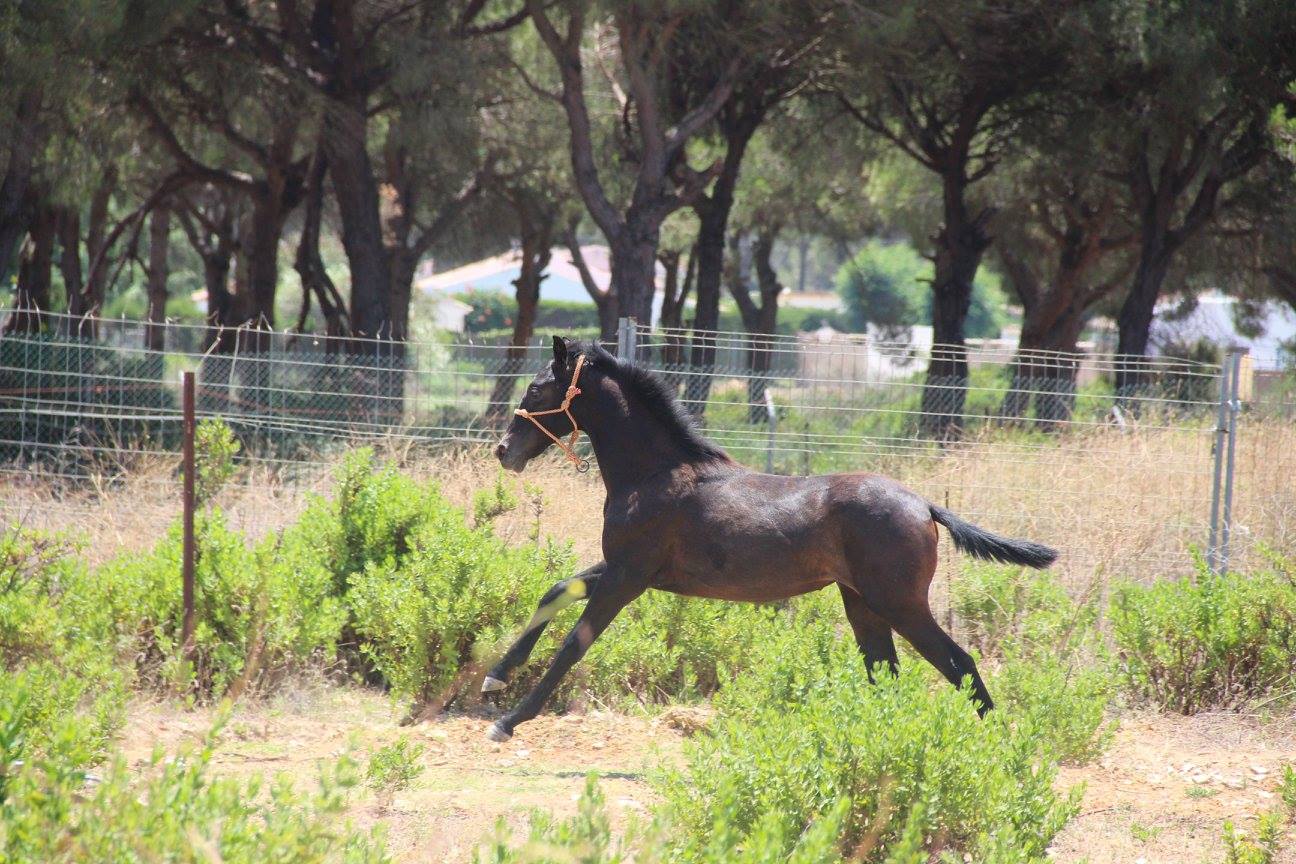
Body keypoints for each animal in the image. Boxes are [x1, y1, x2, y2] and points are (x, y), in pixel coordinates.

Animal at [480, 337, 1057, 742]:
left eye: (537, 389)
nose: (504, 451)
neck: (654, 474)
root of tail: (924, 505)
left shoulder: (629, 576)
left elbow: (575, 643)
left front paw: (508, 720)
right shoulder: (626, 567)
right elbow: (556, 590)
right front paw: (496, 677)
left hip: (900, 602)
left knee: (960, 665)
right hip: (863, 603)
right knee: (885, 672)